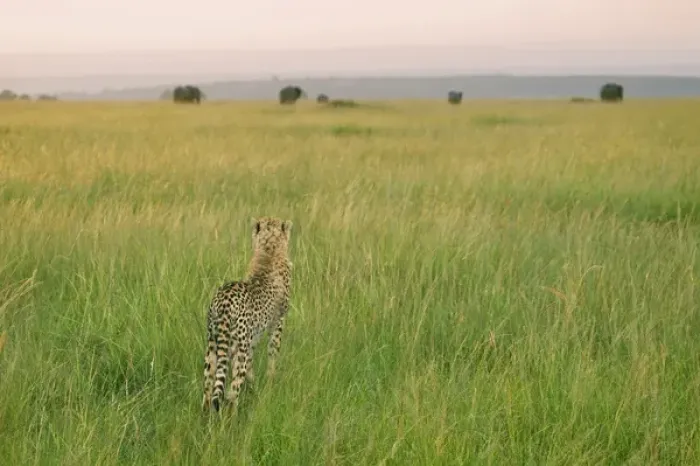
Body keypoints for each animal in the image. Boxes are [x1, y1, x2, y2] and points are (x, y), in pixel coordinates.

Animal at [202, 216, 293, 413]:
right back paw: (232, 416)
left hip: (212, 346)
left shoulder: (253, 337)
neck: (270, 250)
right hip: (238, 350)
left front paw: (254, 386)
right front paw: (269, 383)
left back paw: (205, 414)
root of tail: (223, 300)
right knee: (233, 390)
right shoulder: (278, 322)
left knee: (208, 388)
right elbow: (272, 354)